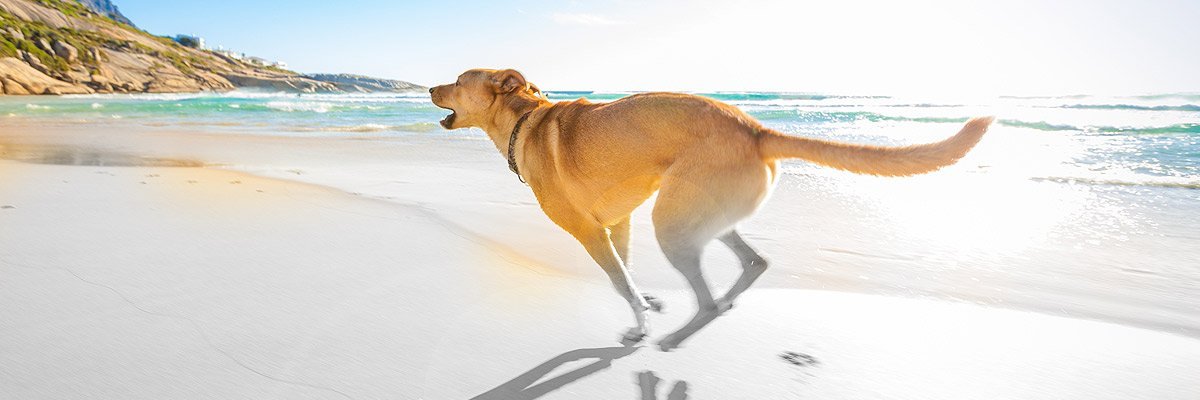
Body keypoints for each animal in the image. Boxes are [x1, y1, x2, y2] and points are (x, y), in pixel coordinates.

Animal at [432, 68, 993, 348]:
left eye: (458, 79)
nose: (429, 86)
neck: (524, 120)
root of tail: (756, 129)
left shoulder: (592, 232)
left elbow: (620, 282)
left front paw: (642, 325)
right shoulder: (620, 223)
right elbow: (627, 274)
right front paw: (645, 308)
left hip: (672, 222)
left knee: (706, 299)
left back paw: (678, 336)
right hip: (705, 216)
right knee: (754, 262)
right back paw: (718, 305)